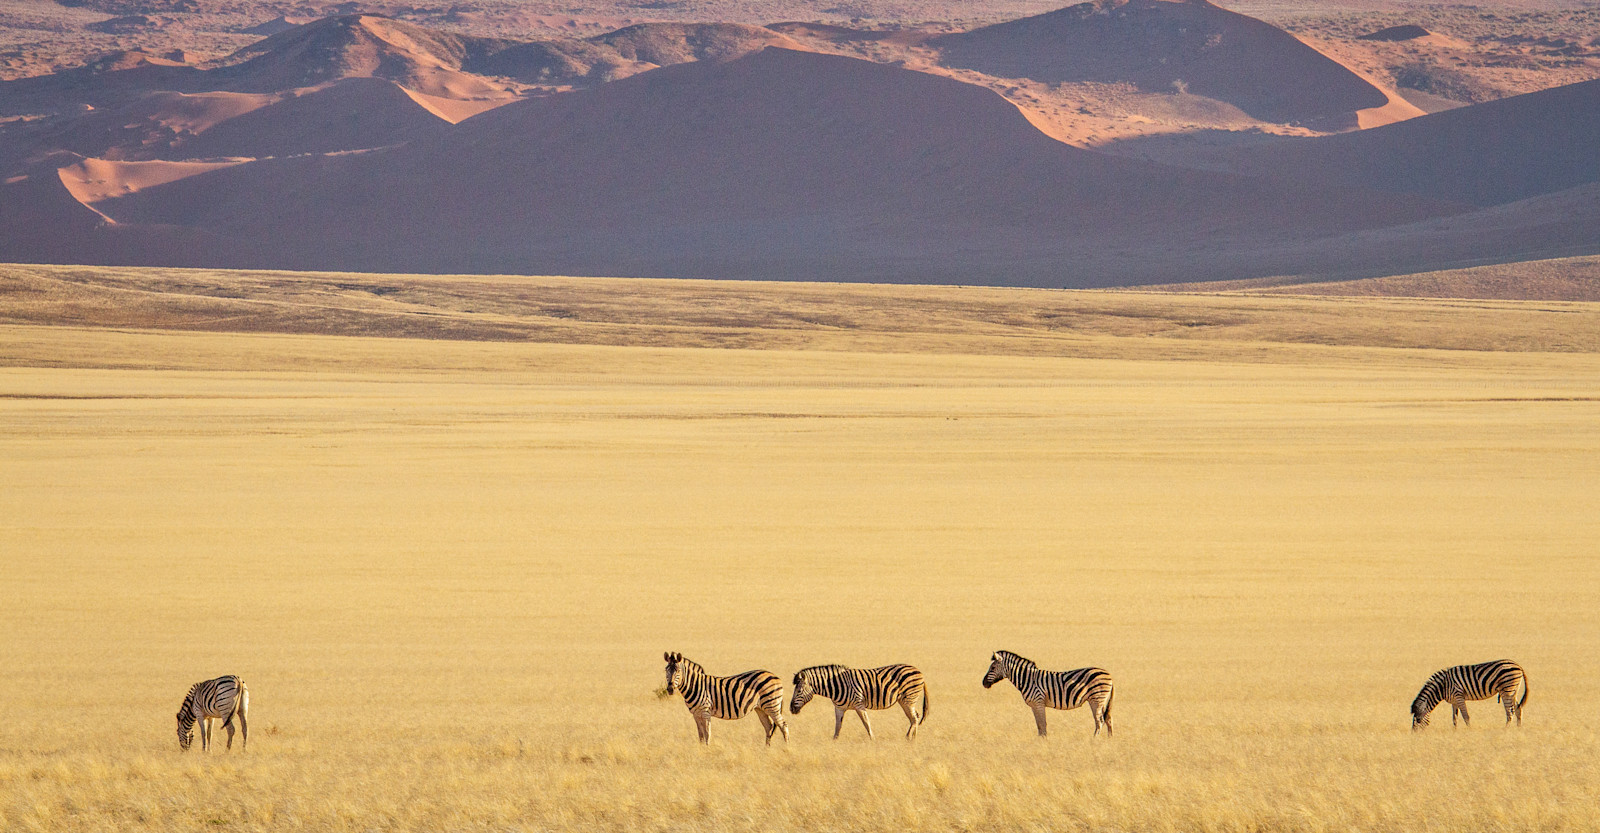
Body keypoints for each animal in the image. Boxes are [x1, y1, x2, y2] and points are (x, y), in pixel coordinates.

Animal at [790, 664, 930, 740]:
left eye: (799, 691)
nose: (791, 709)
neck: (836, 685)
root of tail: (920, 672)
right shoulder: (839, 708)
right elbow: (838, 726)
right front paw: (834, 742)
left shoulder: (858, 704)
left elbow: (866, 723)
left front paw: (872, 739)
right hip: (905, 700)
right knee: (915, 717)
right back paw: (913, 739)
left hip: (908, 699)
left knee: (914, 718)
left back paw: (908, 738)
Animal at [982, 650, 1113, 737]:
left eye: (992, 668)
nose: (983, 683)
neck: (1027, 679)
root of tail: (1109, 675)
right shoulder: (1035, 705)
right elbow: (1039, 724)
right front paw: (1040, 740)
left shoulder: (1038, 702)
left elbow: (1042, 724)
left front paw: (1043, 741)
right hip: (1102, 700)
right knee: (1108, 719)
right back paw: (1109, 740)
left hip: (1096, 699)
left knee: (1100, 721)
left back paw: (1094, 740)